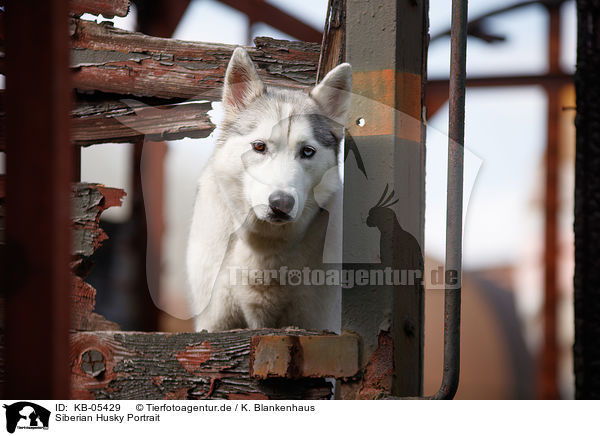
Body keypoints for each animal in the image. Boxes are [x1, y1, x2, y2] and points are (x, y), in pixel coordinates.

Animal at [185, 47, 350, 332]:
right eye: (259, 147)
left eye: (307, 151)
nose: (281, 203)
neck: (264, 247)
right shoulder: (214, 325)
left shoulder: (316, 323)